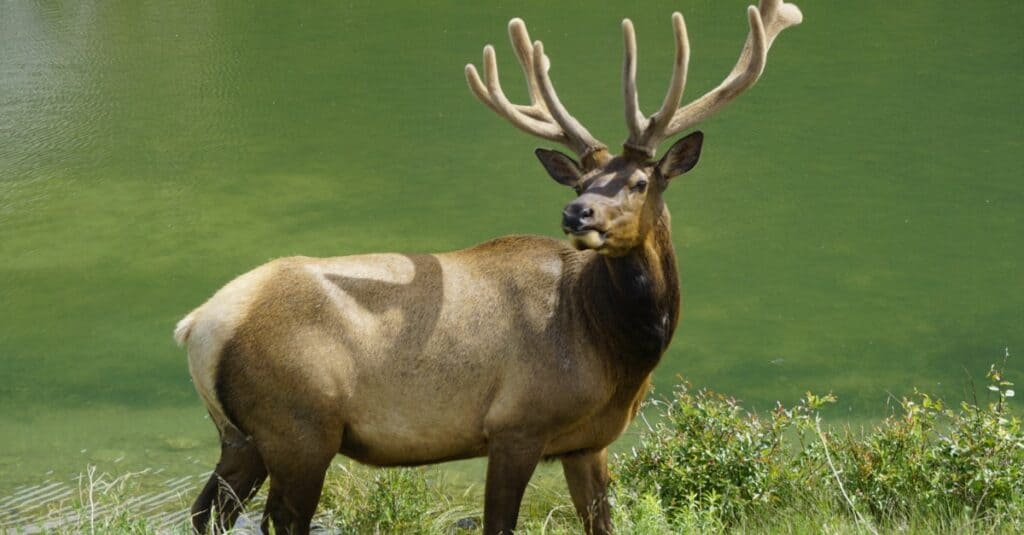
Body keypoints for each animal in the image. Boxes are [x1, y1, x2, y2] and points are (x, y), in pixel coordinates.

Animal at [174, 2, 798, 528]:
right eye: (581, 183)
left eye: (641, 182)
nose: (575, 213)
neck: (611, 346)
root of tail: (197, 325)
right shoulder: (515, 424)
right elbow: (500, 523)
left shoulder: (587, 441)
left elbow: (601, 522)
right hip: (300, 427)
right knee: (276, 518)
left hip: (243, 438)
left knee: (206, 512)